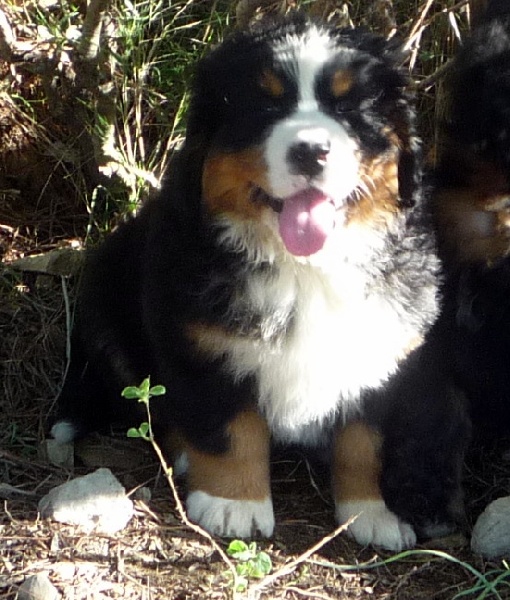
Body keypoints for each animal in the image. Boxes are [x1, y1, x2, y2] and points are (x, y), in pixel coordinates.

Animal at [52, 14, 470, 552]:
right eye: (264, 104)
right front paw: (235, 504)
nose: (311, 150)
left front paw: (370, 512)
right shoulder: (201, 337)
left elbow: (364, 440)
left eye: (348, 107)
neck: (305, 266)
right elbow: (228, 425)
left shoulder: (384, 348)